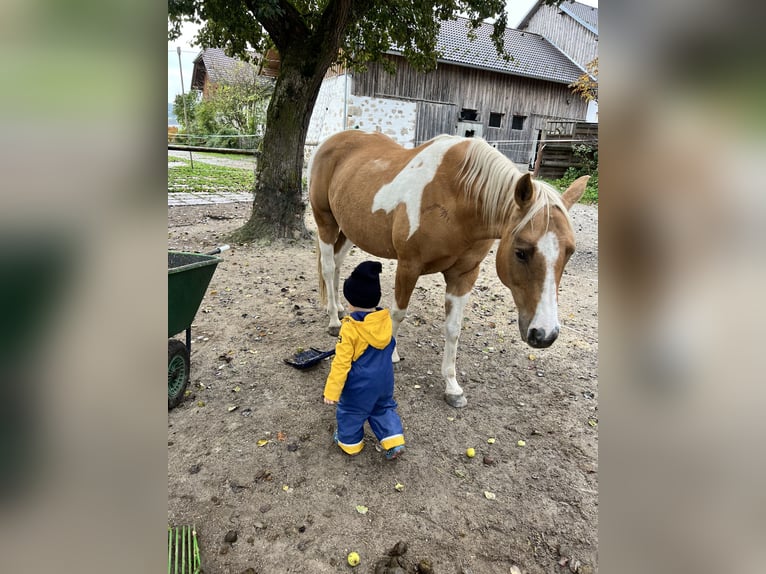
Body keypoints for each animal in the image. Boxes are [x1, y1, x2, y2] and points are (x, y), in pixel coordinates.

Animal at [309, 130, 589, 408]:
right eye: (521, 252)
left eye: (569, 252)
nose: (545, 334)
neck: (457, 199)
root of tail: (332, 141)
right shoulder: (408, 266)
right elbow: (398, 313)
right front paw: (391, 356)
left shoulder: (464, 275)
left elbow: (453, 329)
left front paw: (452, 387)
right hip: (326, 223)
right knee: (328, 266)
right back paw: (333, 319)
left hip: (350, 230)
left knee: (337, 263)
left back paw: (339, 308)